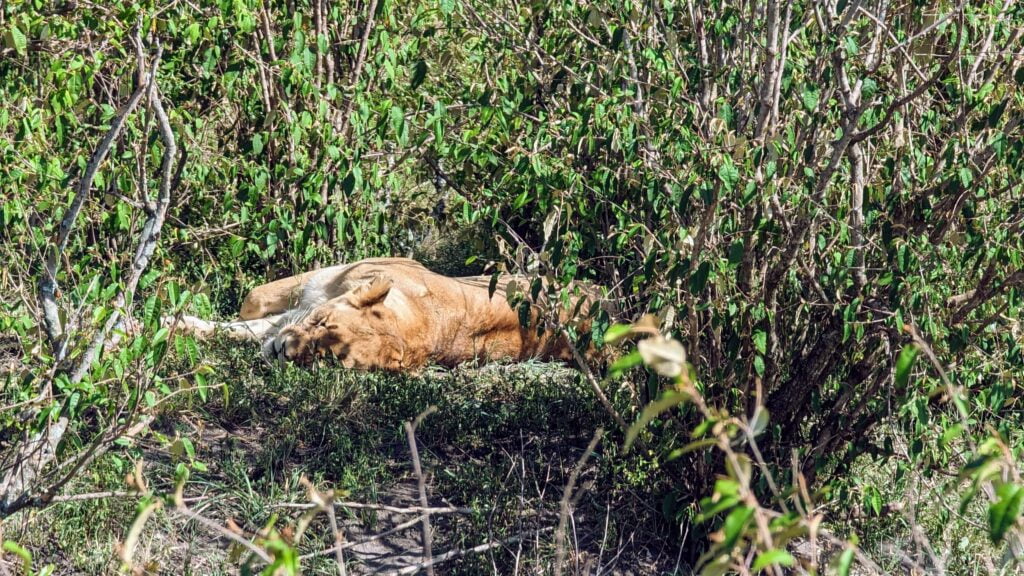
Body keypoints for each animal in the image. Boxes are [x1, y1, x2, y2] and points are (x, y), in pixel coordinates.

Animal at [169, 256, 598, 368]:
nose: (282, 352)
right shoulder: (319, 284)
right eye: (321, 322)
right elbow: (251, 302)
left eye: (326, 358)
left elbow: (243, 325)